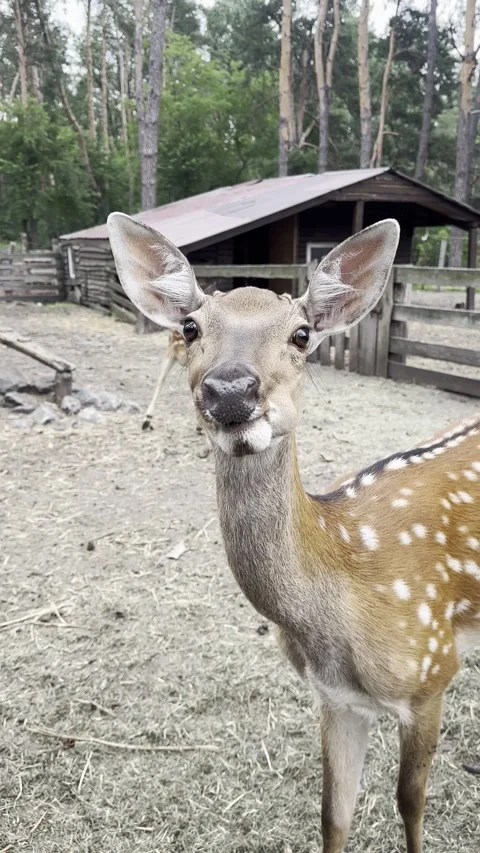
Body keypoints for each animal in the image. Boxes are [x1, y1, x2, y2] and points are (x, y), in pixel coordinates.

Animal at [107, 212, 480, 853]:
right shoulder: (337, 700)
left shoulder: (432, 676)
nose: (231, 389)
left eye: (303, 334)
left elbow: (410, 804)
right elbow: (334, 816)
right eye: (190, 325)